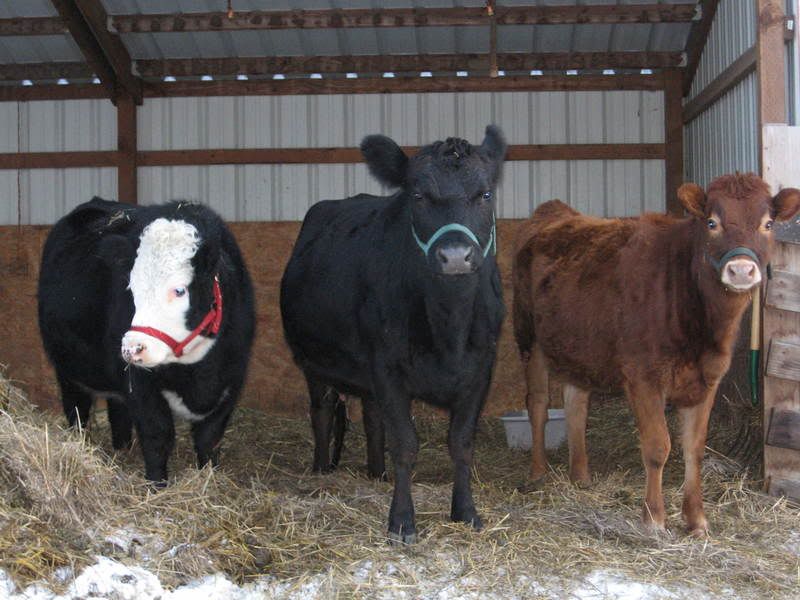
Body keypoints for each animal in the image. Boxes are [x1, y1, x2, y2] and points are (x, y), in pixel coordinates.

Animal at [38, 198, 255, 483]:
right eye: (131, 288)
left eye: (179, 290)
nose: (132, 348)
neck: (199, 374)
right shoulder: (140, 386)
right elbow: (157, 436)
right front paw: (157, 485)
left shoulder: (231, 381)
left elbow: (209, 439)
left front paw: (209, 478)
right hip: (69, 370)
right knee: (77, 411)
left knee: (118, 412)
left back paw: (121, 448)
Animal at [280, 126, 507, 544]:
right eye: (417, 195)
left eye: (484, 194)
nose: (455, 256)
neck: (449, 328)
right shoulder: (388, 367)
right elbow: (405, 443)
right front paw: (401, 520)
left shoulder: (482, 368)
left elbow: (461, 443)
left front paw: (466, 512)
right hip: (313, 362)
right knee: (322, 411)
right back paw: (321, 470)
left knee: (372, 417)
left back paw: (376, 473)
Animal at [512, 173, 800, 535]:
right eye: (712, 222)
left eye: (768, 223)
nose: (741, 270)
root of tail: (555, 211)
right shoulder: (643, 376)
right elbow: (657, 446)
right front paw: (653, 519)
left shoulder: (708, 378)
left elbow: (694, 448)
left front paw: (697, 520)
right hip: (528, 336)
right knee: (537, 403)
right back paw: (538, 472)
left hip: (578, 344)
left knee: (576, 402)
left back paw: (581, 477)